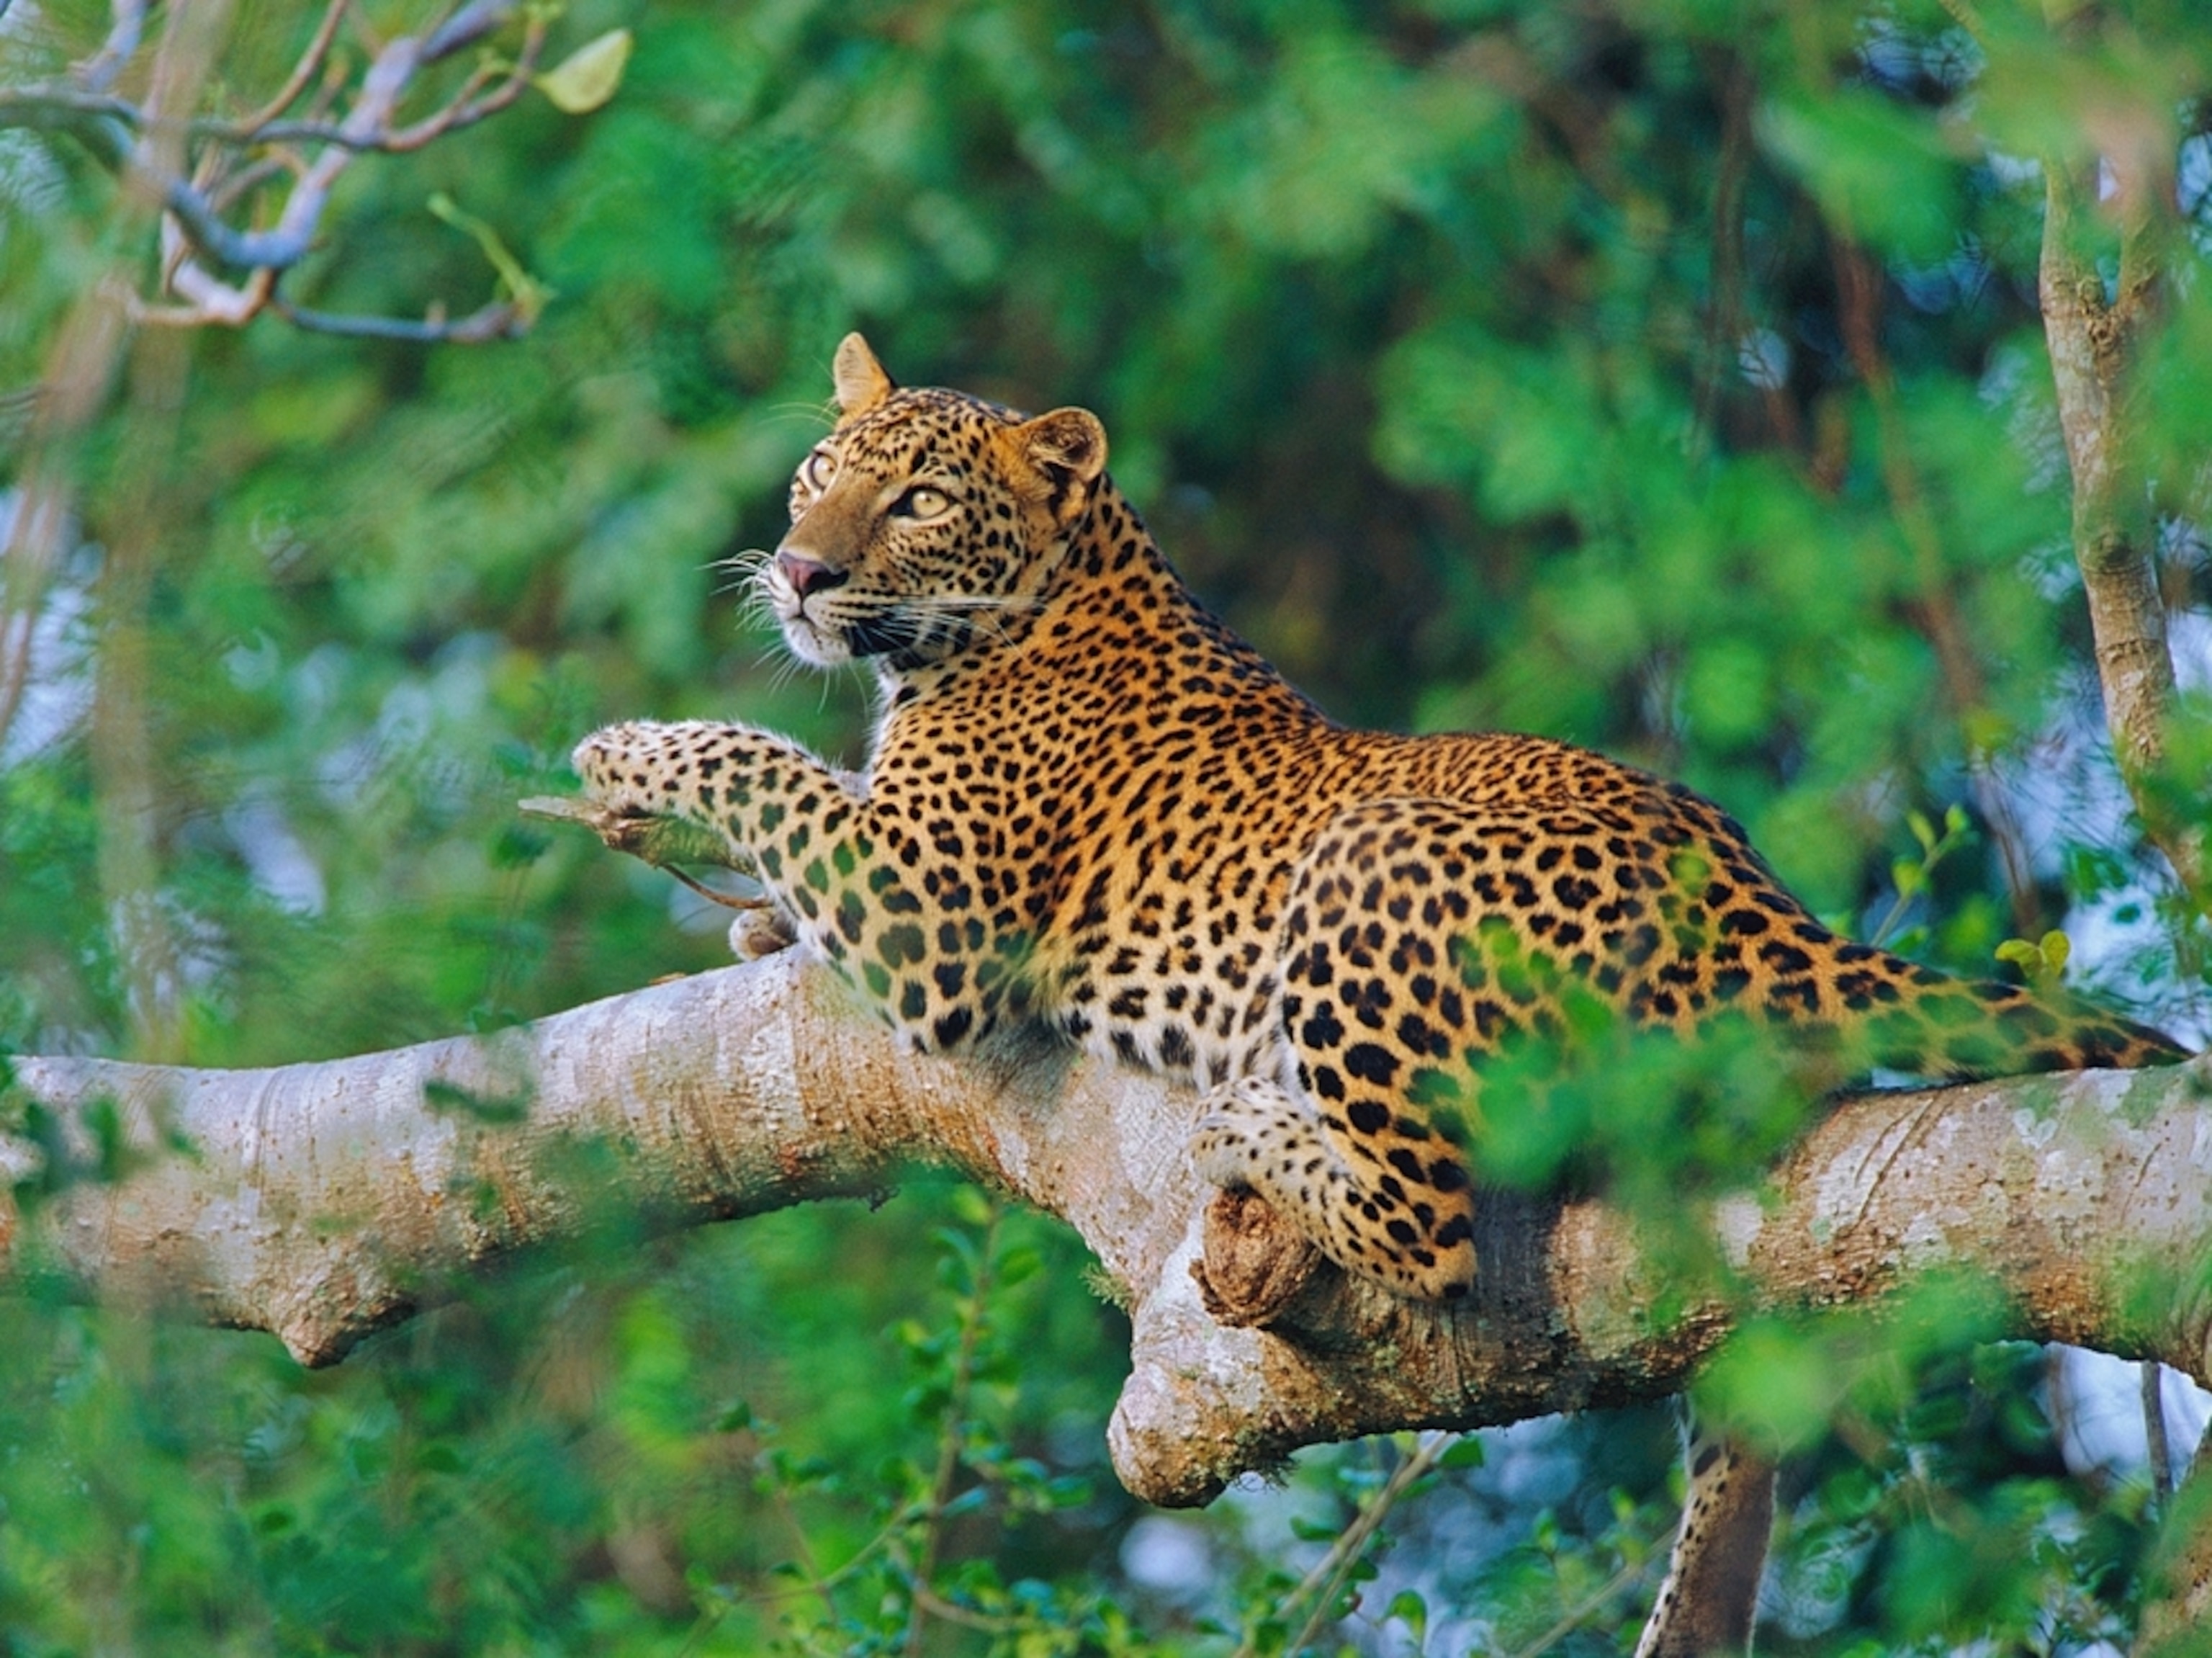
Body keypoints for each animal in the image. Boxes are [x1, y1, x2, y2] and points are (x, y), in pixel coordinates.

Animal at [573, 333, 2187, 1308]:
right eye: (815, 476)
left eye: (913, 500)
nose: (794, 569)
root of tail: (1756, 902)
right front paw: (753, 918)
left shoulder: (934, 911)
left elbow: (772, 762)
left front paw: (628, 749)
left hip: (1366, 864)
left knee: (1433, 1230)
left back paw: (1256, 1126)